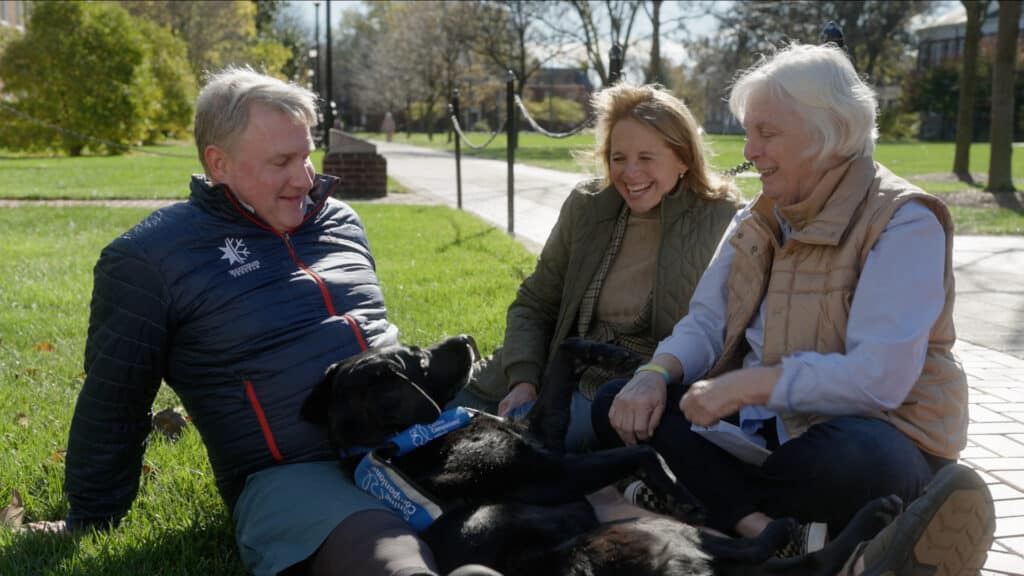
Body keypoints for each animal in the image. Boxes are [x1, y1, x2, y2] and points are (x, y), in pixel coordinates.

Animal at [299, 336, 901, 573]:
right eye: (418, 359)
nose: (468, 338)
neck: (417, 435)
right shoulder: (551, 472)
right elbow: (640, 454)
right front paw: (677, 489)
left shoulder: (546, 428)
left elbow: (561, 363)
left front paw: (603, 350)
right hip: (644, 532)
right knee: (792, 558)